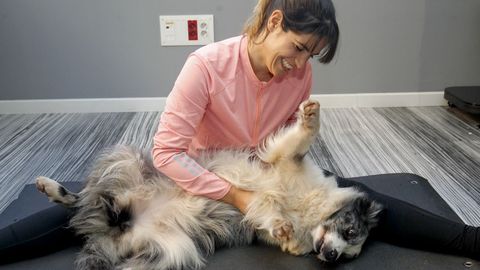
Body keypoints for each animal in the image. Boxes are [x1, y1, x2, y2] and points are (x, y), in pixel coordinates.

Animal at [35, 100, 382, 268]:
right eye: (350, 231)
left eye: (350, 255)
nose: (332, 256)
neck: (310, 211)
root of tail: (118, 227)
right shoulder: (285, 158)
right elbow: (301, 139)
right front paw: (310, 117)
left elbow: (278, 226)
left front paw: (284, 230)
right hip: (125, 158)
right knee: (84, 197)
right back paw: (52, 187)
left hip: (173, 252)